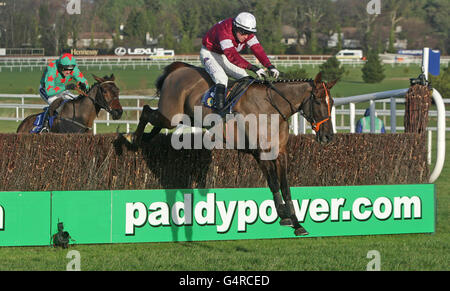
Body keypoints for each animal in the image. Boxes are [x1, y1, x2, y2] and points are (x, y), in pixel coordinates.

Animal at [125, 62, 336, 237]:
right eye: (318, 101)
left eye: (332, 103)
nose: (328, 136)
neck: (271, 109)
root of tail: (179, 68)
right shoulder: (260, 154)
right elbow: (274, 183)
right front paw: (283, 215)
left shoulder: (280, 153)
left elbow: (285, 187)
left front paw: (297, 224)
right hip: (171, 116)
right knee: (146, 110)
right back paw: (133, 139)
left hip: (179, 117)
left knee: (153, 119)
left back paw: (144, 137)